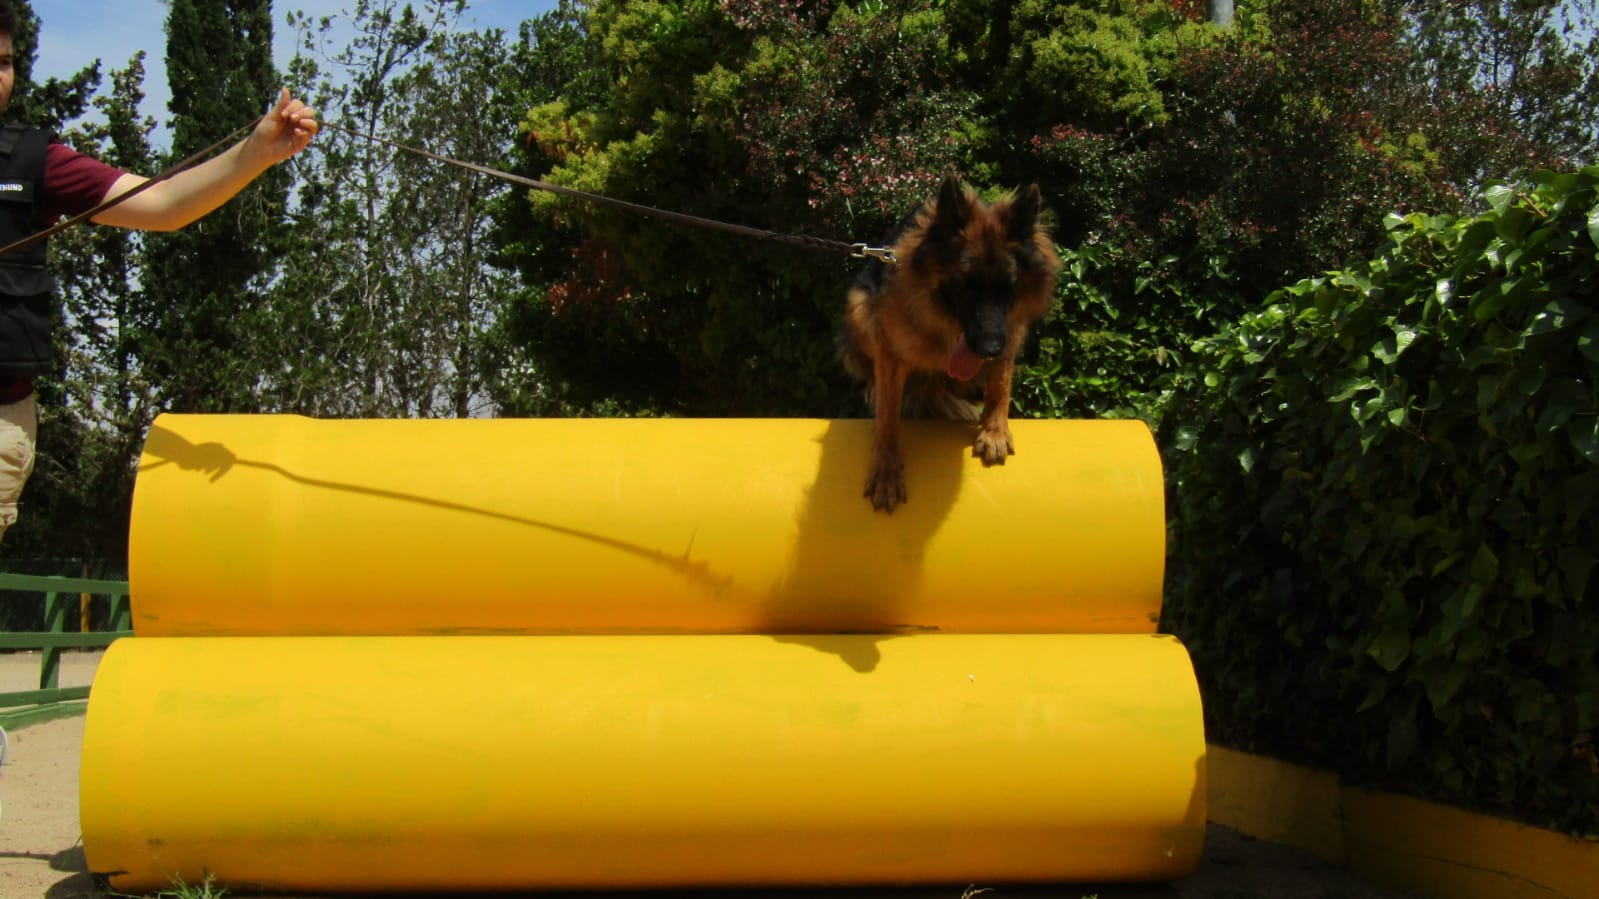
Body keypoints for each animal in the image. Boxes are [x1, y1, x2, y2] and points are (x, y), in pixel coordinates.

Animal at [844, 175, 1055, 511]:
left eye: (1007, 286)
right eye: (966, 285)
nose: (989, 349)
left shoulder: (1010, 332)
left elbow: (1001, 384)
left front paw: (995, 431)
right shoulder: (891, 351)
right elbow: (888, 416)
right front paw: (886, 471)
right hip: (859, 306)